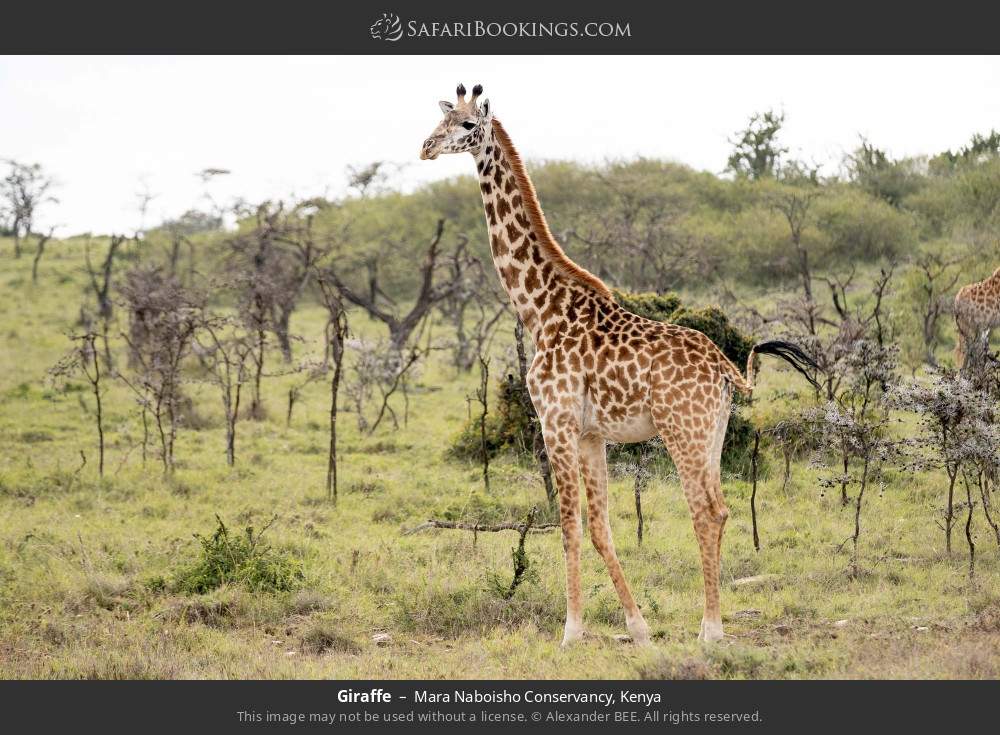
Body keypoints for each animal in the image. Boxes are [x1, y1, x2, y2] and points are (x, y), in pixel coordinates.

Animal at [418, 85, 816, 644]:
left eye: (469, 125)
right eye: (443, 118)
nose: (427, 146)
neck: (539, 308)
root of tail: (725, 366)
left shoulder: (556, 421)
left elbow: (567, 522)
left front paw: (570, 632)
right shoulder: (591, 433)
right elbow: (601, 526)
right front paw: (637, 626)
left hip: (681, 430)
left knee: (705, 511)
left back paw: (711, 629)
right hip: (713, 432)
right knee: (721, 507)